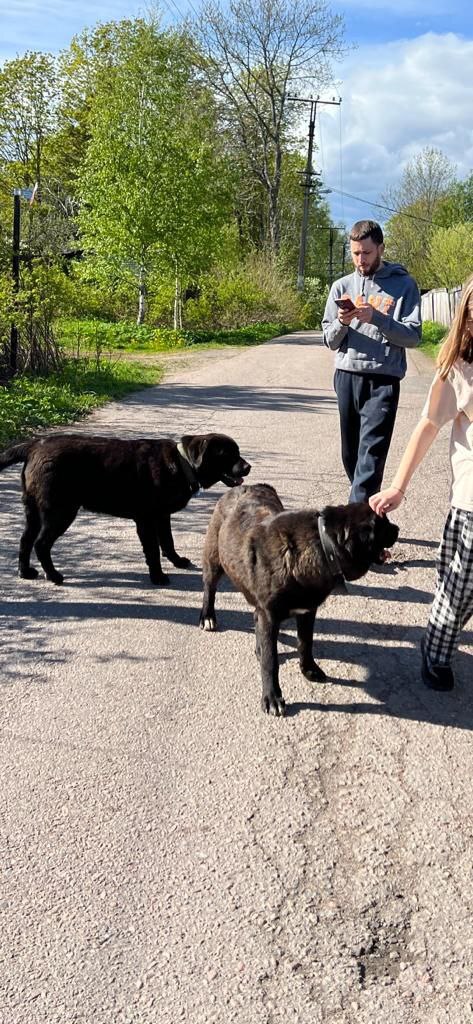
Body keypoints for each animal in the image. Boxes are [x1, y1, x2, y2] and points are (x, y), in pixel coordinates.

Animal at [0, 430, 250, 585]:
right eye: (228, 454)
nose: (248, 466)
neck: (183, 463)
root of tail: (34, 446)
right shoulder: (147, 519)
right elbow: (153, 550)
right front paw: (158, 577)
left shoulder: (162, 517)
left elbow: (167, 543)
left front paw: (178, 562)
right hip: (60, 512)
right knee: (41, 544)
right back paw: (53, 576)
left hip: (33, 511)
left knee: (25, 540)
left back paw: (25, 572)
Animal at [197, 483, 397, 716]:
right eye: (383, 525)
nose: (397, 529)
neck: (322, 545)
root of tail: (246, 485)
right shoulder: (270, 617)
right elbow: (271, 661)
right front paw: (272, 696)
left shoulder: (307, 612)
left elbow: (305, 643)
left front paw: (309, 669)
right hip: (214, 560)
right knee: (209, 588)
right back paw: (207, 616)